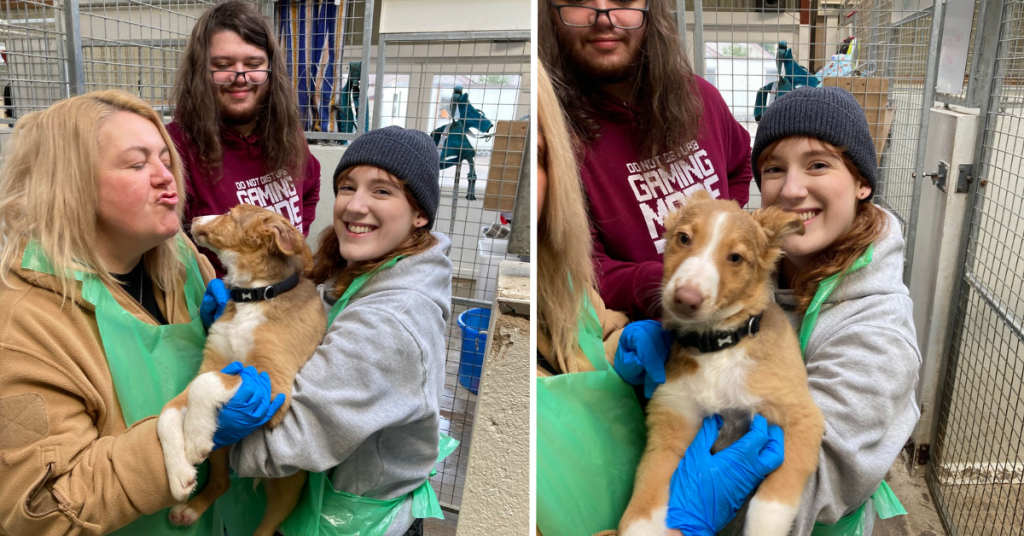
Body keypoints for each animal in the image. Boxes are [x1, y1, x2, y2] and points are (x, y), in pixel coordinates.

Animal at [155, 205, 327, 536]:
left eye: (231, 214)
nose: (193, 219)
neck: (254, 295)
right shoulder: (212, 363)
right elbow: (167, 412)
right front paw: (179, 472)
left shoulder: (274, 384)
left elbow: (206, 384)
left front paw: (193, 437)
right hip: (222, 448)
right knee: (221, 483)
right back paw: (189, 510)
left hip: (286, 488)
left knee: (266, 526)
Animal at [614, 191, 823, 536]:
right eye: (684, 238)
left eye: (735, 258)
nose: (685, 298)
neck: (717, 347)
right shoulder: (671, 424)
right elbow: (643, 502)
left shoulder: (802, 418)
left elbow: (772, 501)